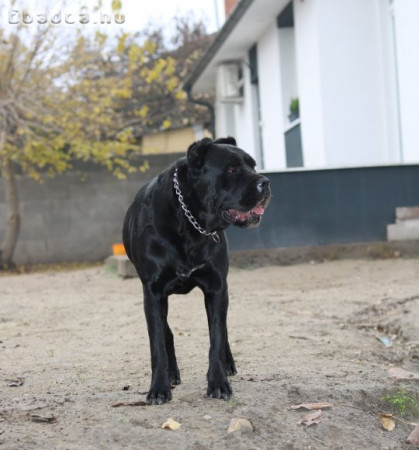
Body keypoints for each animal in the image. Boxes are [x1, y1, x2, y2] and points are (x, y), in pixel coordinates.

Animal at [123, 137, 270, 404]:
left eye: (253, 165)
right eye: (231, 169)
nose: (265, 182)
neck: (189, 222)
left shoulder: (217, 287)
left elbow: (216, 338)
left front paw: (218, 382)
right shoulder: (153, 292)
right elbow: (157, 344)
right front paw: (158, 388)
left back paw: (228, 364)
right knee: (167, 333)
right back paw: (171, 373)